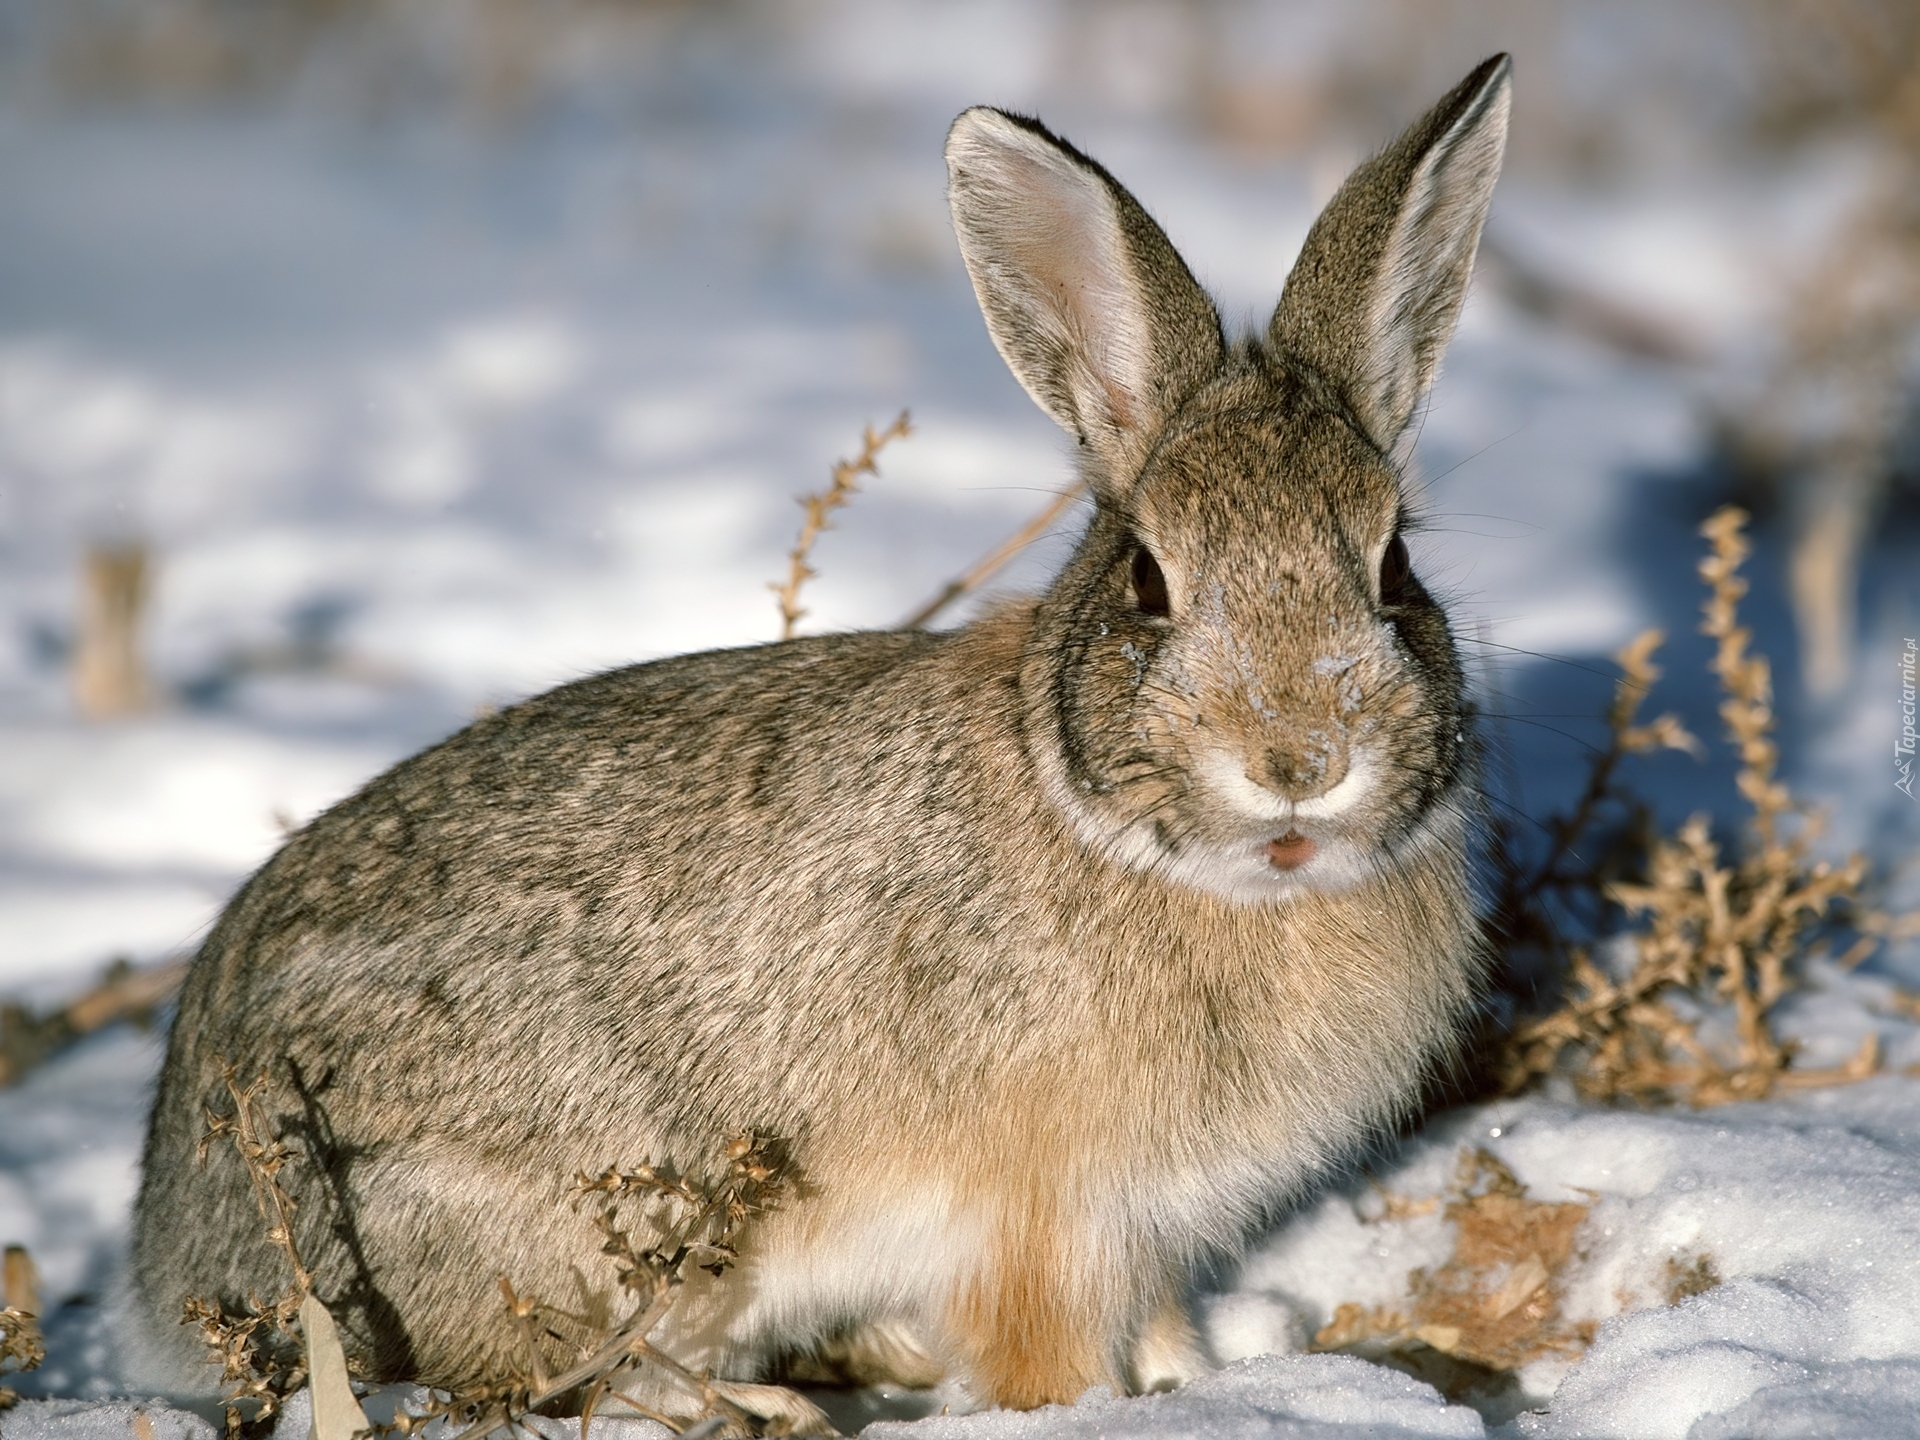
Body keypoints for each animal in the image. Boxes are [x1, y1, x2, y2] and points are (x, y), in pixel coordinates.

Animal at [131, 53, 1512, 1436]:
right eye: (1147, 580)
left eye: (1394, 570)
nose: (1300, 762)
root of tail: (173, 1247)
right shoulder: (1042, 1224)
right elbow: (1044, 1358)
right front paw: (1089, 1408)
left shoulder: (1151, 1233)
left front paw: (1197, 1382)